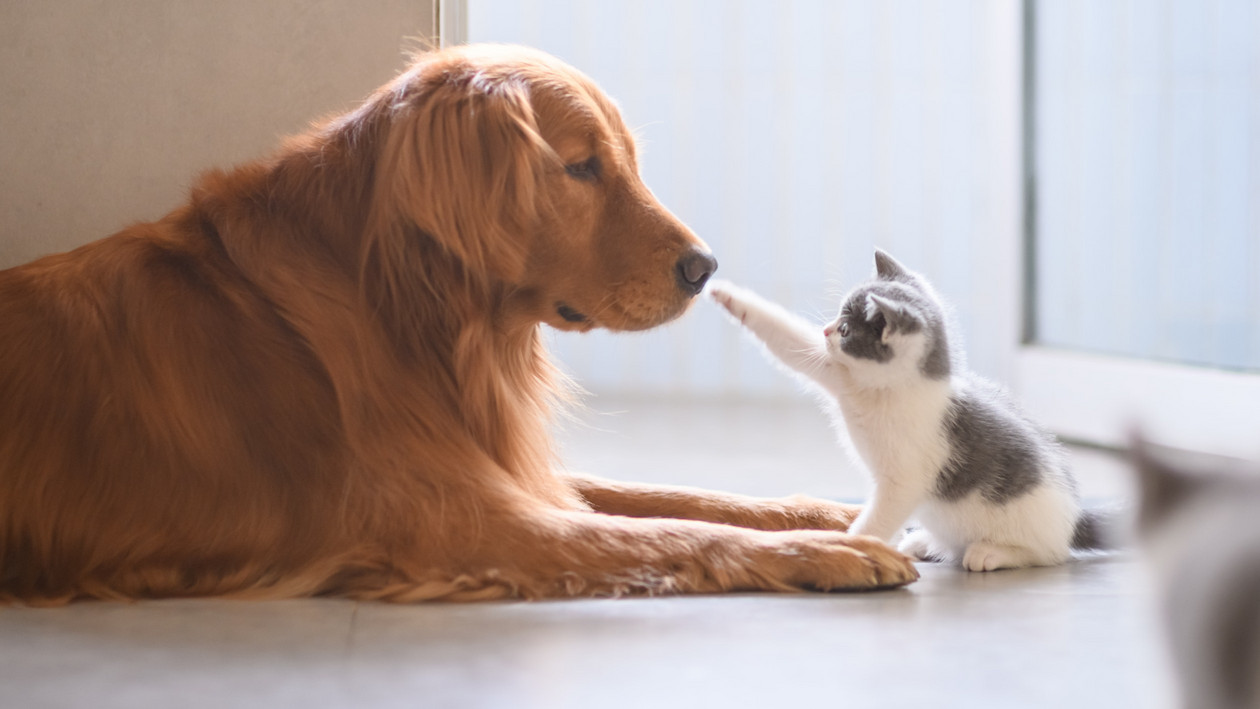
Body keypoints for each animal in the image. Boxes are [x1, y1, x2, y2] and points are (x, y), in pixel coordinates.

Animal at [0, 44, 917, 601]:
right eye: (581, 167)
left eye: (624, 160)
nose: (704, 268)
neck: (405, 310)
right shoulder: (464, 521)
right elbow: (671, 528)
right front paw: (833, 550)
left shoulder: (504, 468)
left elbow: (681, 495)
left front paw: (827, 512)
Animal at [705, 249, 1108, 571]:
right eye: (837, 318)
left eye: (846, 328)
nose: (825, 331)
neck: (883, 391)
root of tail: (1074, 516)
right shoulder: (838, 374)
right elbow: (789, 341)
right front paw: (730, 297)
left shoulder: (904, 482)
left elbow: (880, 517)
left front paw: (848, 546)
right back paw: (924, 542)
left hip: (1031, 522)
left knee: (1047, 554)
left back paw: (993, 553)